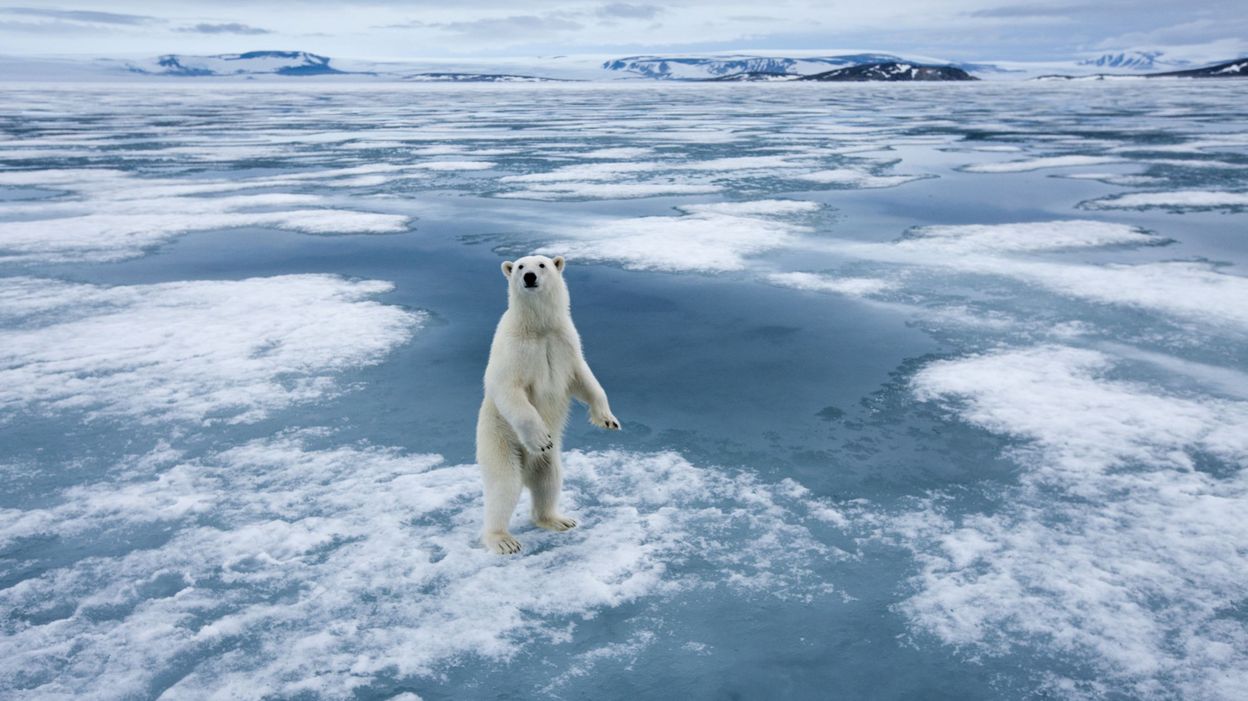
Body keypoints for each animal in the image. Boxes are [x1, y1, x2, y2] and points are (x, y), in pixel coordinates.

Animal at [474, 253, 621, 553]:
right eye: (520, 266)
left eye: (542, 264)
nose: (529, 276)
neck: (538, 329)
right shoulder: (513, 349)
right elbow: (507, 388)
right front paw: (541, 437)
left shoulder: (565, 342)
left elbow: (585, 378)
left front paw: (607, 419)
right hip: (498, 440)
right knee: (504, 486)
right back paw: (502, 540)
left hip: (547, 462)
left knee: (549, 480)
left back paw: (558, 519)